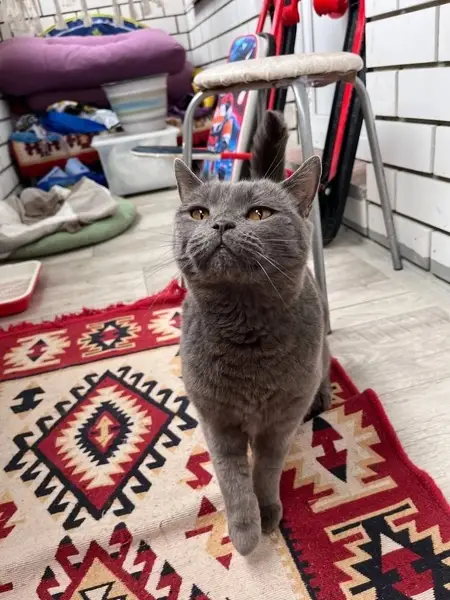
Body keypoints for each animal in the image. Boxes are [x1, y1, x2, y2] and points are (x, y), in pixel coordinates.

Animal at [173, 110, 331, 556]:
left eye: (259, 214)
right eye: (199, 214)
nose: (221, 224)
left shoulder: (281, 421)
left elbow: (266, 468)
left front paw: (269, 512)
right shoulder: (216, 419)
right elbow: (232, 478)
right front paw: (245, 532)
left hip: (320, 361)